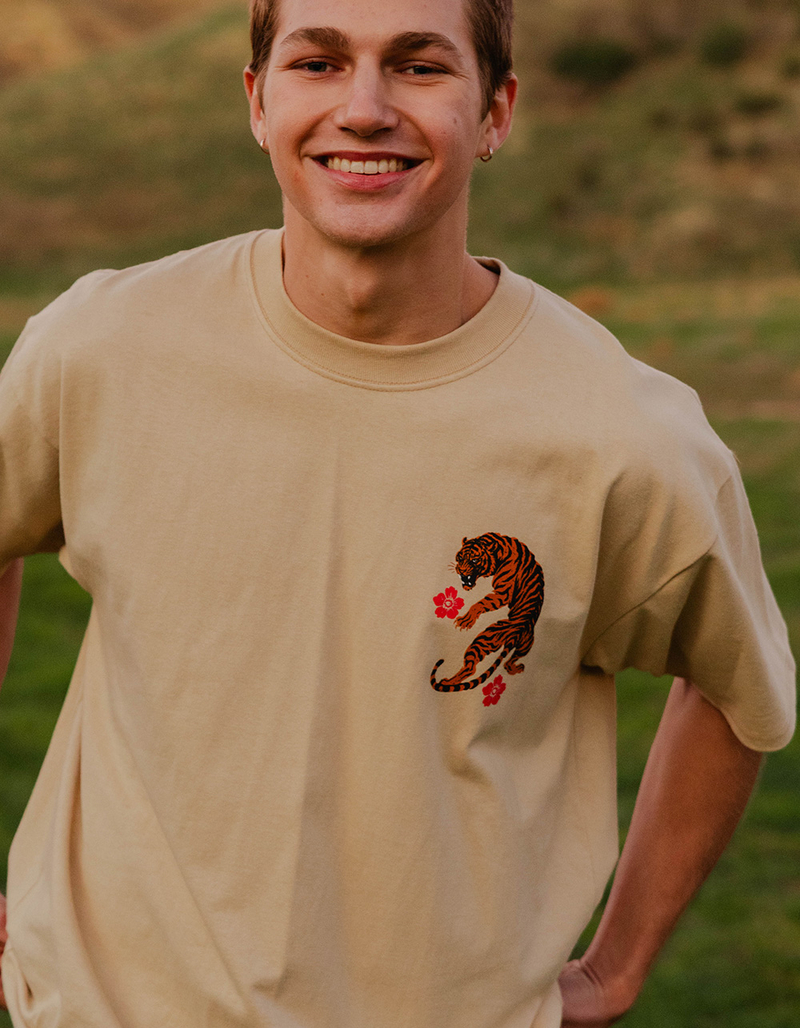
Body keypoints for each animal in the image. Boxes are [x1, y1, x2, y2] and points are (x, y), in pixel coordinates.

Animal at [431, 533, 545, 693]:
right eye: (460, 557)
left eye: (474, 560)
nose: (460, 570)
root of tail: (515, 634)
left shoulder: (503, 593)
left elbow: (480, 603)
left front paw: (466, 620)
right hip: (525, 646)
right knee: (508, 662)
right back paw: (516, 668)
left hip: (483, 639)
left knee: (471, 668)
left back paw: (447, 682)